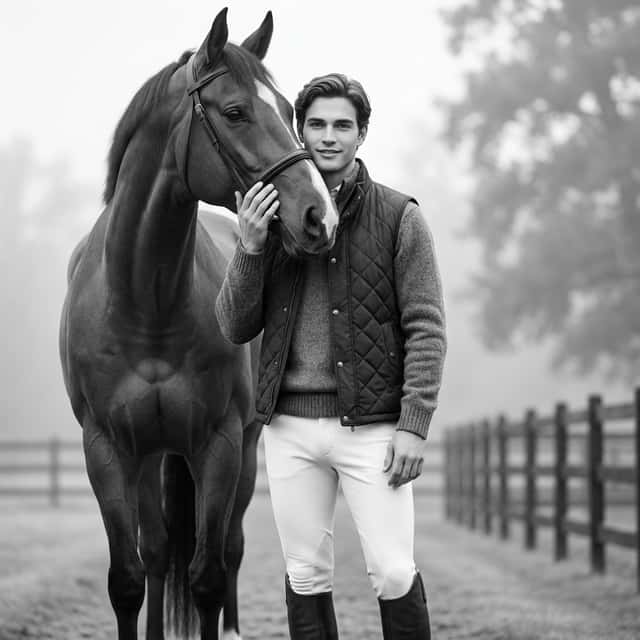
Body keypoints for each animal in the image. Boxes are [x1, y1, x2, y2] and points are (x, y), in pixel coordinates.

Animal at [59, 9, 338, 640]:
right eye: (235, 112)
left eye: (289, 111)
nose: (320, 215)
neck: (147, 305)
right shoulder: (106, 448)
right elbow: (128, 578)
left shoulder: (220, 445)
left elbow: (208, 575)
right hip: (150, 454)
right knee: (159, 553)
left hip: (241, 453)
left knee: (226, 550)